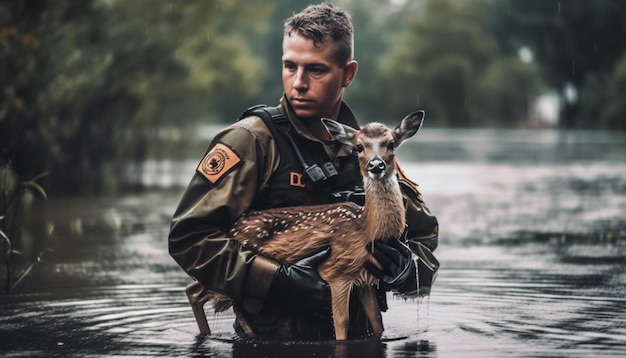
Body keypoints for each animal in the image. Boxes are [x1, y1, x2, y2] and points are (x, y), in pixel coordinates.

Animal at [183, 110, 422, 340]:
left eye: (391, 144)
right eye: (358, 146)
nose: (376, 165)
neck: (365, 229)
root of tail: (233, 227)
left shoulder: (366, 279)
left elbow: (377, 323)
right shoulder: (336, 273)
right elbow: (341, 325)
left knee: (204, 291)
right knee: (199, 290)